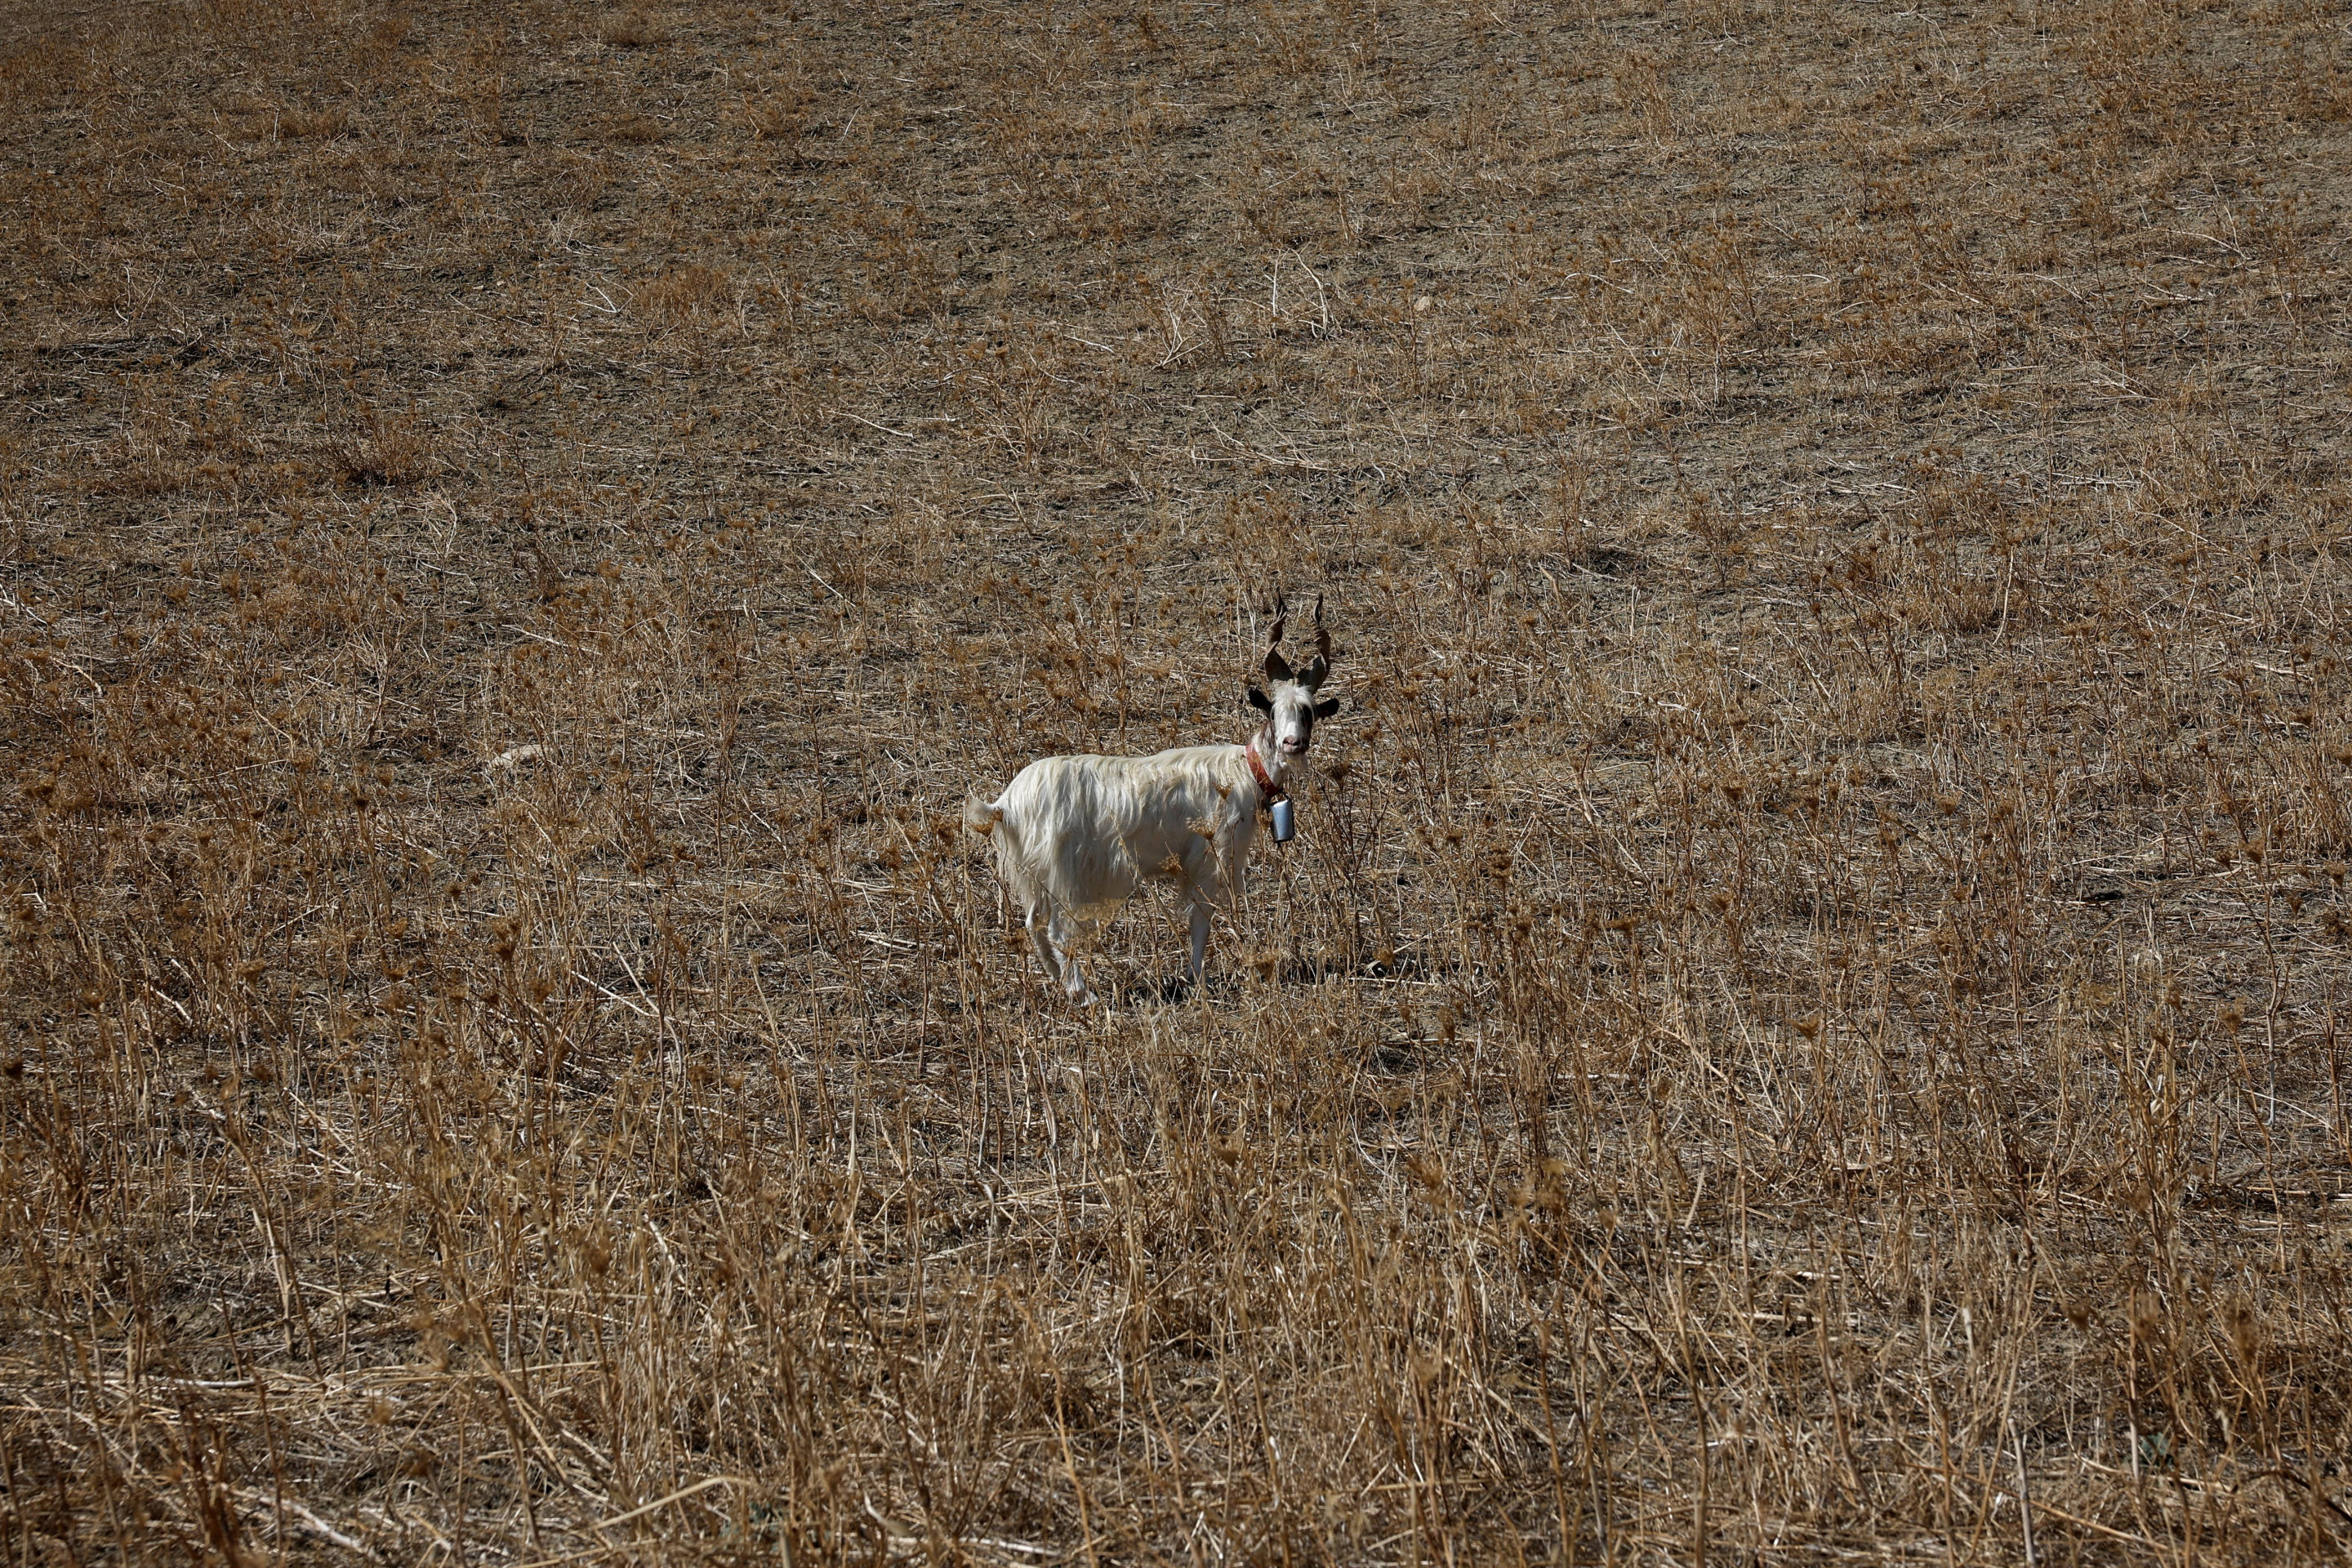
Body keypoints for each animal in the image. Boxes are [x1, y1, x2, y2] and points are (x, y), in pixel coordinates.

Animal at [964, 595, 1345, 1010]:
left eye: (1309, 712)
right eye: (1274, 712)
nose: (1292, 743)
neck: (1244, 770)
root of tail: (1006, 803)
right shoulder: (1210, 858)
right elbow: (1200, 920)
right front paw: (1199, 981)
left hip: (1037, 874)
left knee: (1033, 924)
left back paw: (1062, 987)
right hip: (1068, 876)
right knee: (1058, 932)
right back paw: (1087, 996)